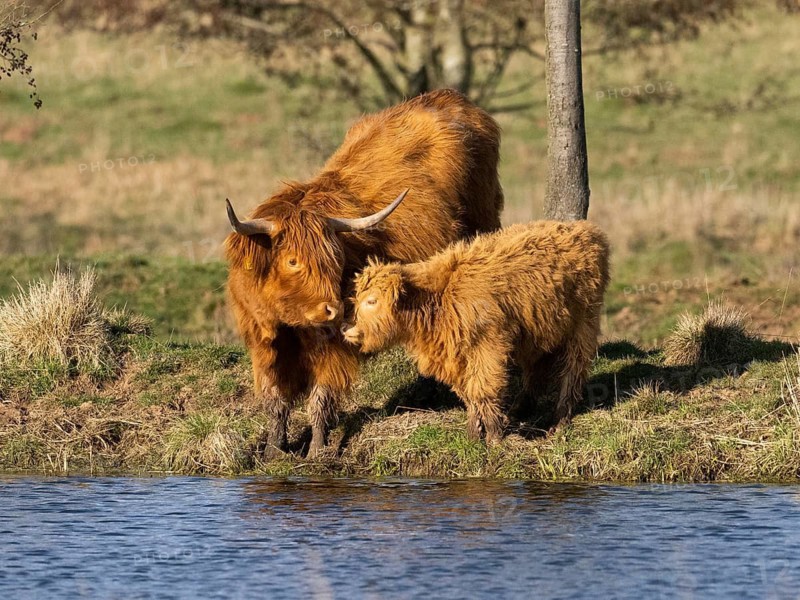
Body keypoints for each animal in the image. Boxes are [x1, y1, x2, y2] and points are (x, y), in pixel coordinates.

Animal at [224, 89, 503, 457]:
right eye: (293, 261)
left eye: (336, 259)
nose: (334, 309)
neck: (287, 323)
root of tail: (449, 97)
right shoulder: (263, 345)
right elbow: (276, 401)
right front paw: (274, 451)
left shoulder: (331, 348)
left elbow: (321, 397)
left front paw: (317, 453)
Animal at [342, 220, 610, 442]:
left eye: (372, 301)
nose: (347, 328)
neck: (439, 300)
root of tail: (588, 231)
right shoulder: (456, 358)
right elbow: (469, 394)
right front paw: (473, 434)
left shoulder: (487, 348)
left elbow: (484, 389)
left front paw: (494, 437)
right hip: (540, 331)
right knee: (536, 371)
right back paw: (519, 410)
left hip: (583, 325)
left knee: (573, 371)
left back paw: (560, 421)